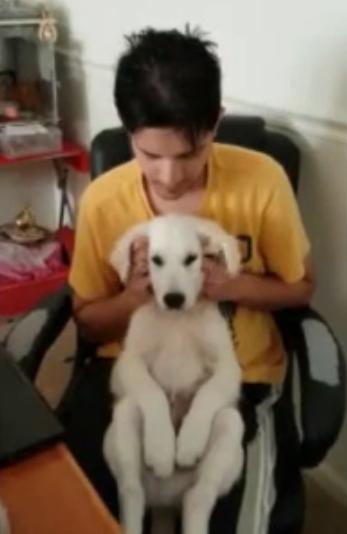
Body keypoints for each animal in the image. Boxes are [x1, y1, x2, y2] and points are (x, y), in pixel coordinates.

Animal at [103, 216, 245, 534]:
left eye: (192, 259)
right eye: (155, 260)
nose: (174, 299)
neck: (177, 320)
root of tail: (165, 502)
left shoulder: (228, 367)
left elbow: (208, 394)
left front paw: (188, 442)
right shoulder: (128, 363)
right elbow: (153, 393)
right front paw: (162, 449)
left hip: (230, 431)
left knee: (199, 497)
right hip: (123, 424)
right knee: (131, 491)